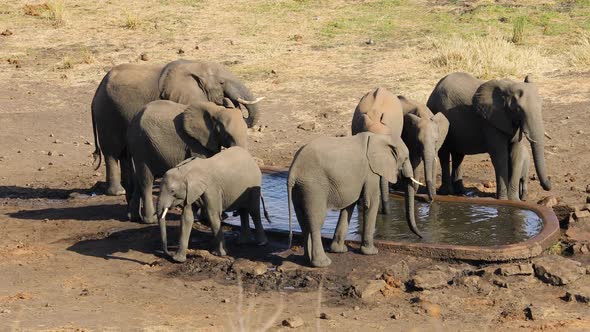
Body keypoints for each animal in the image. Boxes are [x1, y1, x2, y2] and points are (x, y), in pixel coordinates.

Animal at [91, 58, 264, 196]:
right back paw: (118, 192)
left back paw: (128, 187)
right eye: (221, 83)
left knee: (124, 153)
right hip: (107, 113)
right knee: (112, 152)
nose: (228, 100)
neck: (196, 66)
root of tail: (96, 93)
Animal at [286, 132, 420, 268]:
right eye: (406, 159)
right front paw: (372, 252)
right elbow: (371, 203)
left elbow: (350, 205)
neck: (380, 137)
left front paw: (339, 250)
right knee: (316, 220)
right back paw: (323, 263)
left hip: (301, 187)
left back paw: (307, 261)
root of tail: (293, 170)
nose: (420, 236)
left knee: (303, 221)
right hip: (314, 186)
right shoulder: (370, 172)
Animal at [428, 71, 552, 200]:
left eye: (541, 105)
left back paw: (460, 191)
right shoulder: (490, 122)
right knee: (444, 153)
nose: (548, 185)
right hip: (437, 112)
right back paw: (446, 192)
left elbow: (515, 155)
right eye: (518, 109)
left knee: (458, 156)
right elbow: (500, 156)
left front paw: (514, 200)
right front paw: (503, 199)